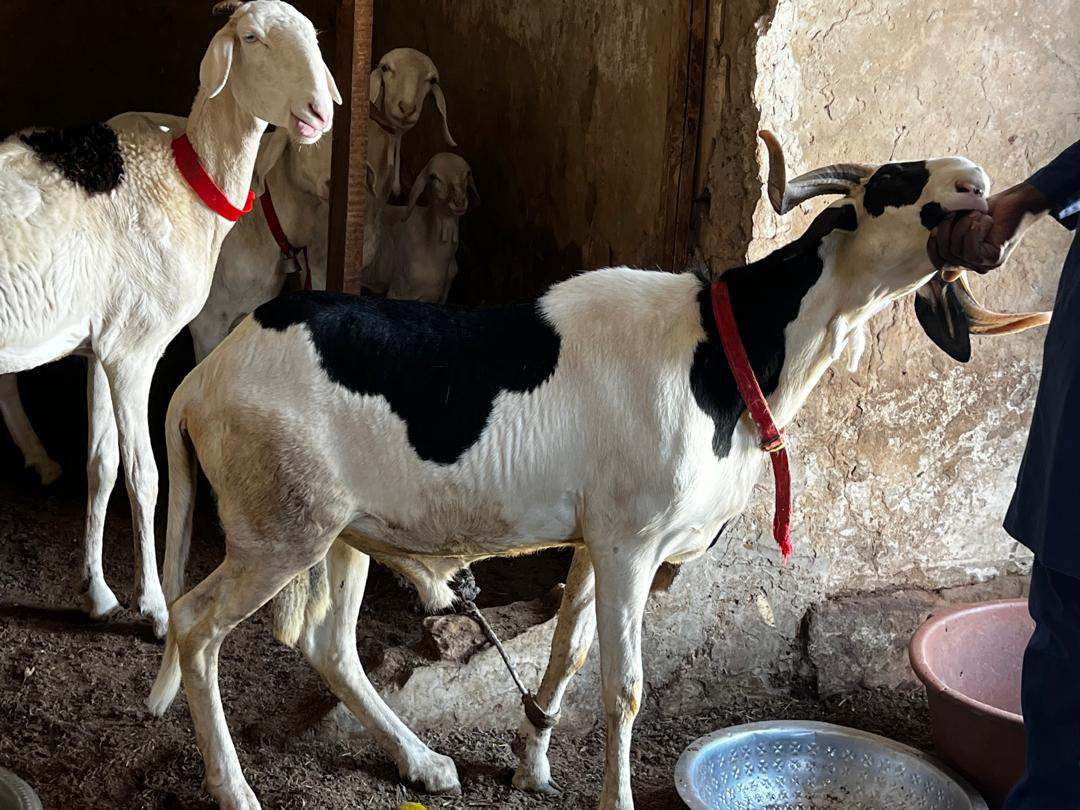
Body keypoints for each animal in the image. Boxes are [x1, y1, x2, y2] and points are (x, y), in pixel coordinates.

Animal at [0, 0, 338, 637]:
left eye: (312, 35)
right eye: (251, 37)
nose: (319, 111)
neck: (185, 179)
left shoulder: (102, 346)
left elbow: (102, 465)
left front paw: (98, 594)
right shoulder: (134, 350)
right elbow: (143, 475)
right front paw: (153, 606)